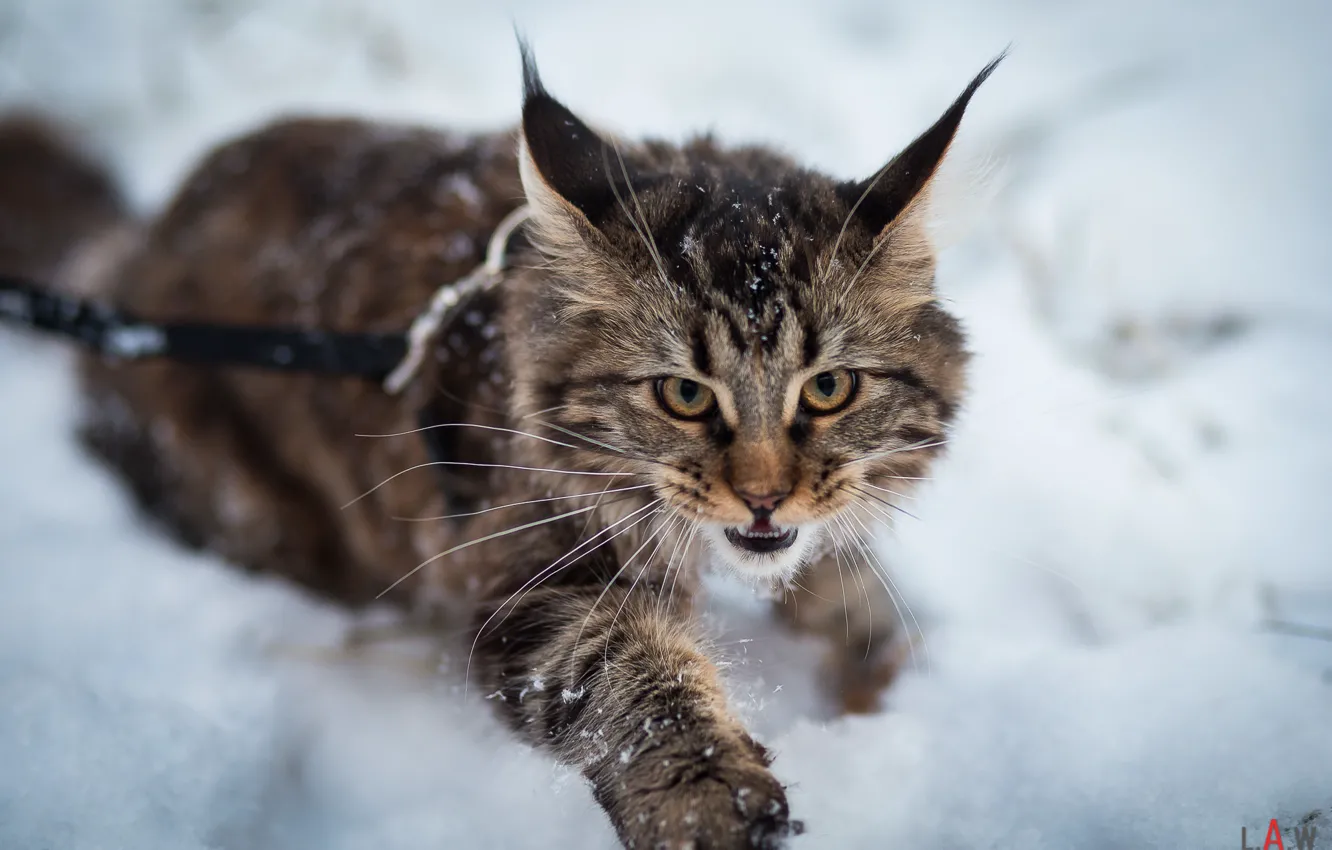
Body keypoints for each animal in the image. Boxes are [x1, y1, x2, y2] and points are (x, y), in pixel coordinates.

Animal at [0, 46, 1001, 850]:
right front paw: (709, 799)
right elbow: (635, 687)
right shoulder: (536, 584)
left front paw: (884, 692)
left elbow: (858, 602)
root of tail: (129, 249)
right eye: (682, 395)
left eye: (828, 389)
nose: (763, 496)